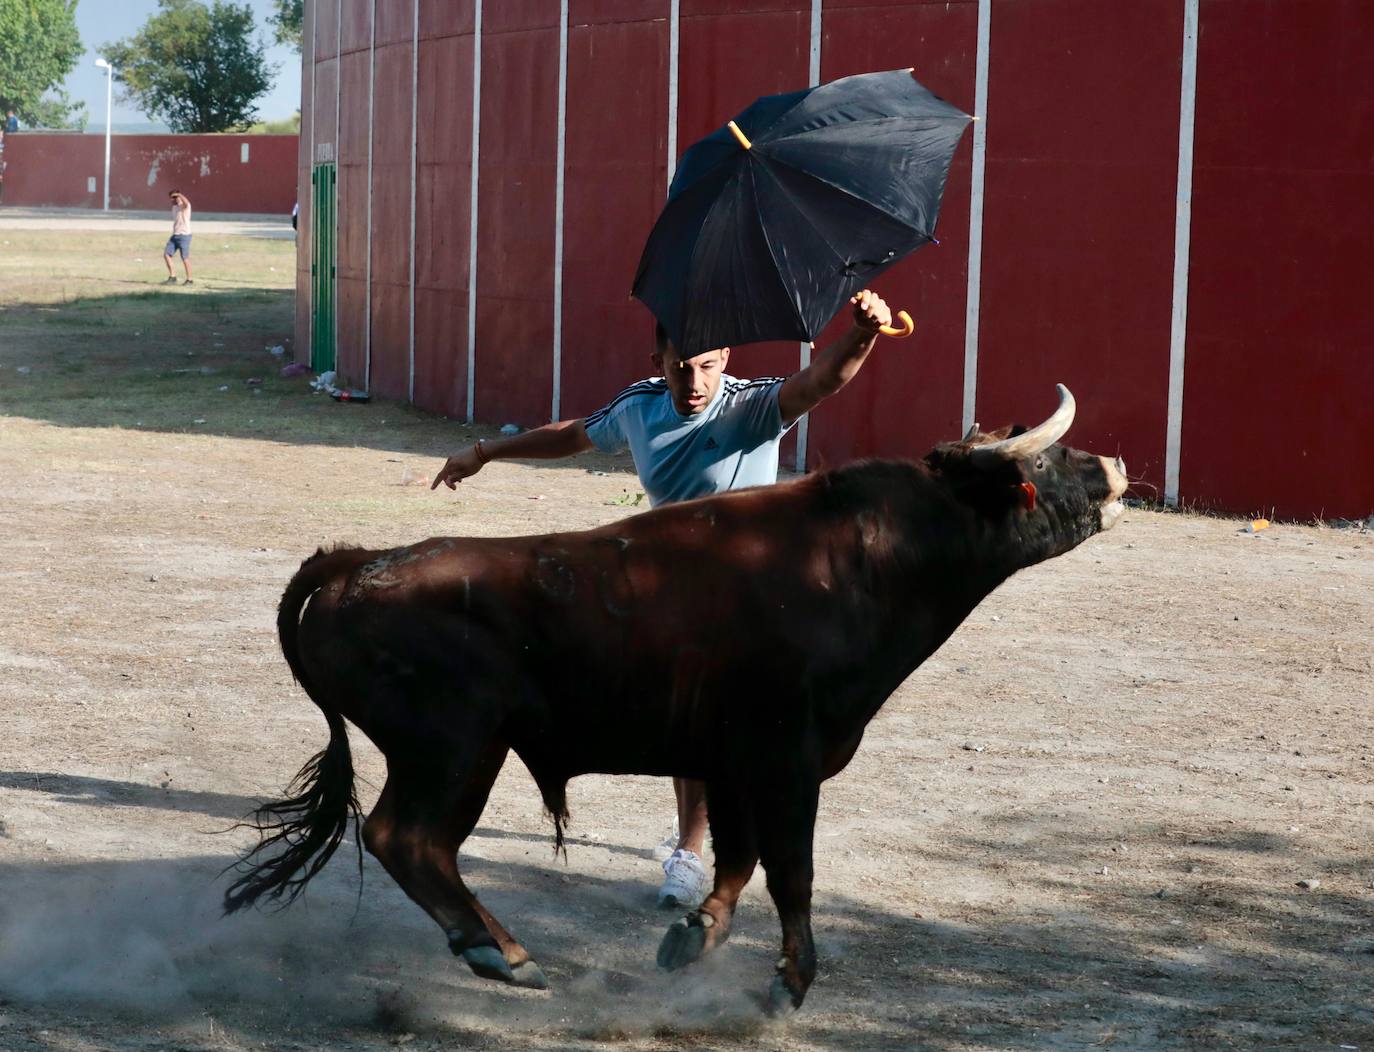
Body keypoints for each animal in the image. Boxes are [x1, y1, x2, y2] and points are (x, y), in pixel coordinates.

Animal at [225, 384, 1126, 1010]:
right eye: (1044, 462)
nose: (1113, 467)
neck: (869, 558)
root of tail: (359, 563)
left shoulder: (731, 761)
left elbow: (738, 856)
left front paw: (696, 935)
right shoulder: (787, 757)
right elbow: (791, 869)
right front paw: (791, 982)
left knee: (414, 844)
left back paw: (500, 950)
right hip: (455, 749)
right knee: (405, 838)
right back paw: (504, 955)